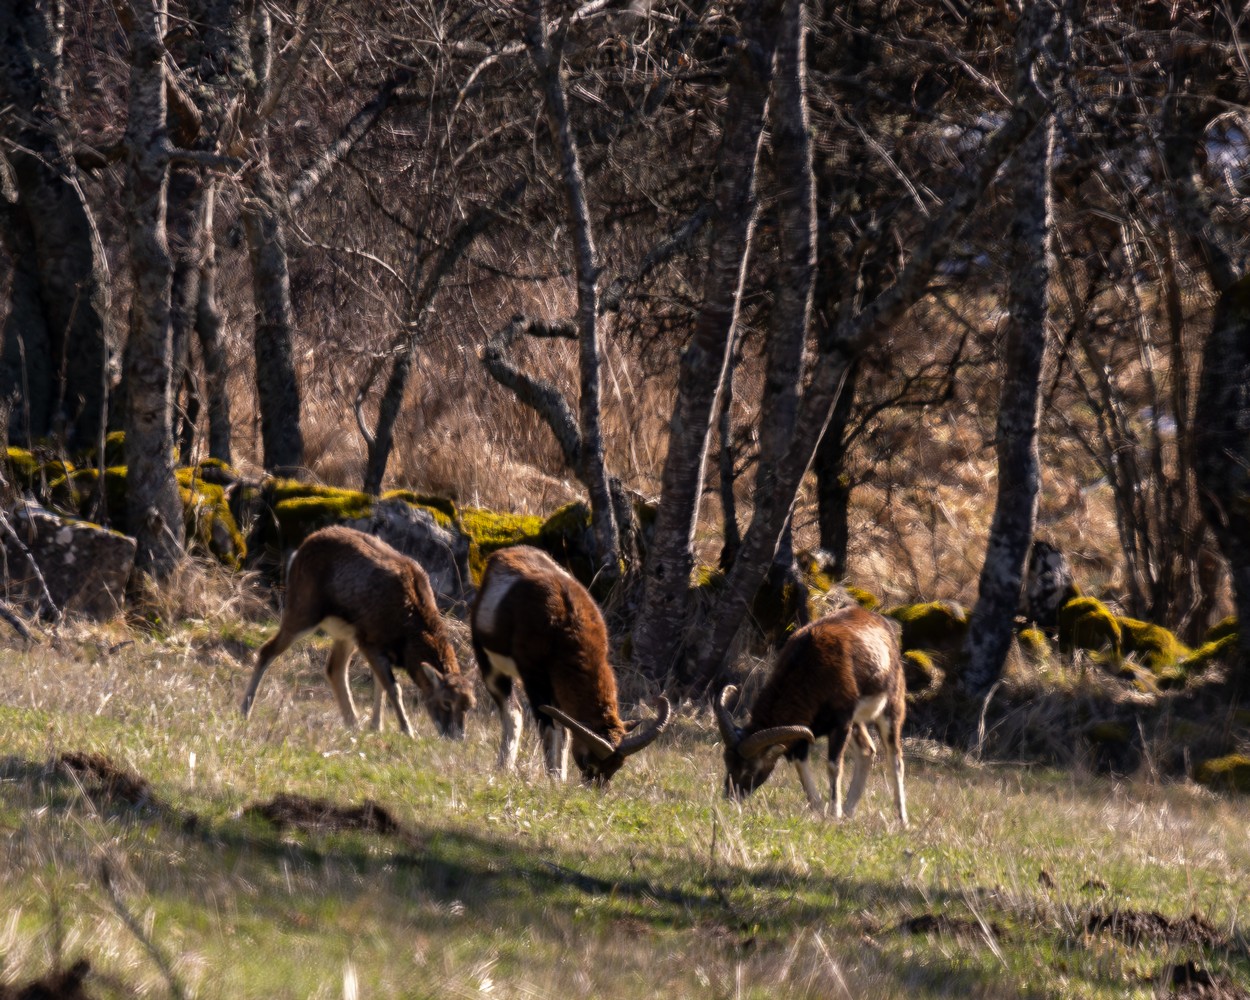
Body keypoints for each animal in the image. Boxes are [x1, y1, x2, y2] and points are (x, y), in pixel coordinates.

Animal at [240, 525, 476, 738]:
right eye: (446, 702)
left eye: (470, 705)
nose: (457, 736)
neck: (406, 636)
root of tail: (298, 553)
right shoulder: (370, 640)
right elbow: (393, 687)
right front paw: (408, 730)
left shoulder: (367, 641)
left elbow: (381, 685)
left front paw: (376, 726)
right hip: (304, 609)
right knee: (267, 650)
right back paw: (245, 710)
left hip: (345, 633)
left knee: (334, 668)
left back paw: (352, 723)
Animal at [470, 545, 670, 784]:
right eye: (588, 761)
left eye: (617, 766)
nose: (594, 787)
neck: (565, 621)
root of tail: (503, 555)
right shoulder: (535, 681)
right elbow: (549, 730)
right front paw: (553, 779)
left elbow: (564, 733)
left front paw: (560, 778)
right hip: (491, 667)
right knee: (513, 711)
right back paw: (504, 767)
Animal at [716, 604, 908, 825]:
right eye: (727, 762)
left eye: (751, 768)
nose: (731, 797)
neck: (811, 663)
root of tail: (883, 624)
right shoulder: (806, 731)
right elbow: (800, 764)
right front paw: (819, 809)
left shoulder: (841, 723)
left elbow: (834, 766)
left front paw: (834, 814)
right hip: (857, 723)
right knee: (867, 750)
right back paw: (849, 811)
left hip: (891, 710)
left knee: (895, 759)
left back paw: (902, 821)